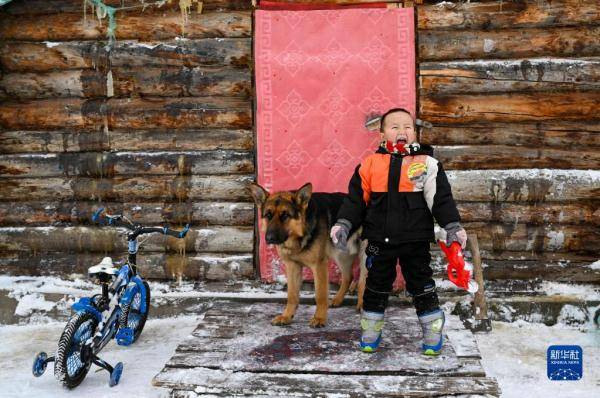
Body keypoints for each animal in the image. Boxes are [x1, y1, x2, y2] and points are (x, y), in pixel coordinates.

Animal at [247, 182, 366, 328]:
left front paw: (320, 318)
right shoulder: (292, 267)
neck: (299, 234)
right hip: (341, 255)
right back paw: (338, 299)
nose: (269, 238)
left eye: (285, 215)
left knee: (363, 279)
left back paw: (362, 303)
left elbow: (320, 295)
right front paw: (287, 316)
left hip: (365, 254)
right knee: (348, 276)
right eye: (268, 215)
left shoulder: (319, 266)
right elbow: (292, 295)